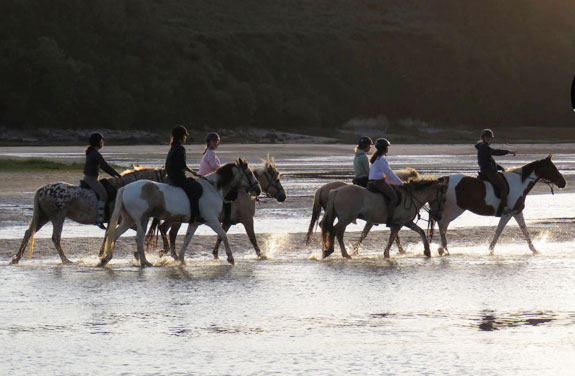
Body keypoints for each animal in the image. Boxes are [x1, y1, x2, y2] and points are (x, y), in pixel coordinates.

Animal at [9, 166, 166, 266]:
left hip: (43, 217)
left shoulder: (117, 221)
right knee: (55, 237)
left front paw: (102, 255)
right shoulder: (124, 221)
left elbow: (108, 235)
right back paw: (66, 260)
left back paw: (16, 258)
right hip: (57, 217)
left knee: (29, 233)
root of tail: (42, 189)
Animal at [99, 158, 260, 268]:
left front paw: (181, 260)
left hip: (129, 220)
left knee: (115, 234)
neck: (213, 188)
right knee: (139, 238)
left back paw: (106, 259)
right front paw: (230, 258)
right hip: (141, 219)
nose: (258, 190)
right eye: (249, 173)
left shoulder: (195, 223)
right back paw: (145, 262)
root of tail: (125, 188)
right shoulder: (212, 220)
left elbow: (188, 239)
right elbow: (223, 235)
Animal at [436, 153, 568, 256]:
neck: (519, 183)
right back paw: (443, 249)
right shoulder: (507, 214)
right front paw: (490, 250)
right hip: (456, 209)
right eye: (553, 168)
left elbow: (524, 230)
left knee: (442, 225)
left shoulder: (517, 212)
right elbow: (499, 231)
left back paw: (443, 249)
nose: (563, 182)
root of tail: (445, 180)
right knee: (443, 224)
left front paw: (534, 250)